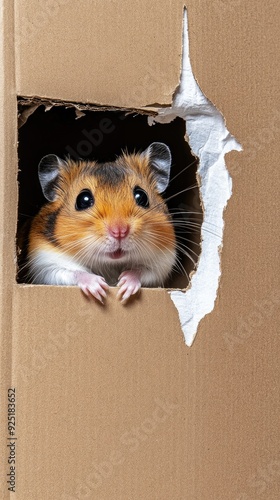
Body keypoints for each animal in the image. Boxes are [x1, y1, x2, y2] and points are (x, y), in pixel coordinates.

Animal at [25, 143, 175, 302]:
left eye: (142, 196)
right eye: (83, 200)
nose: (119, 232)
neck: (110, 263)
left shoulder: (163, 262)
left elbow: (141, 271)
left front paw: (124, 286)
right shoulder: (45, 263)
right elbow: (73, 272)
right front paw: (100, 287)